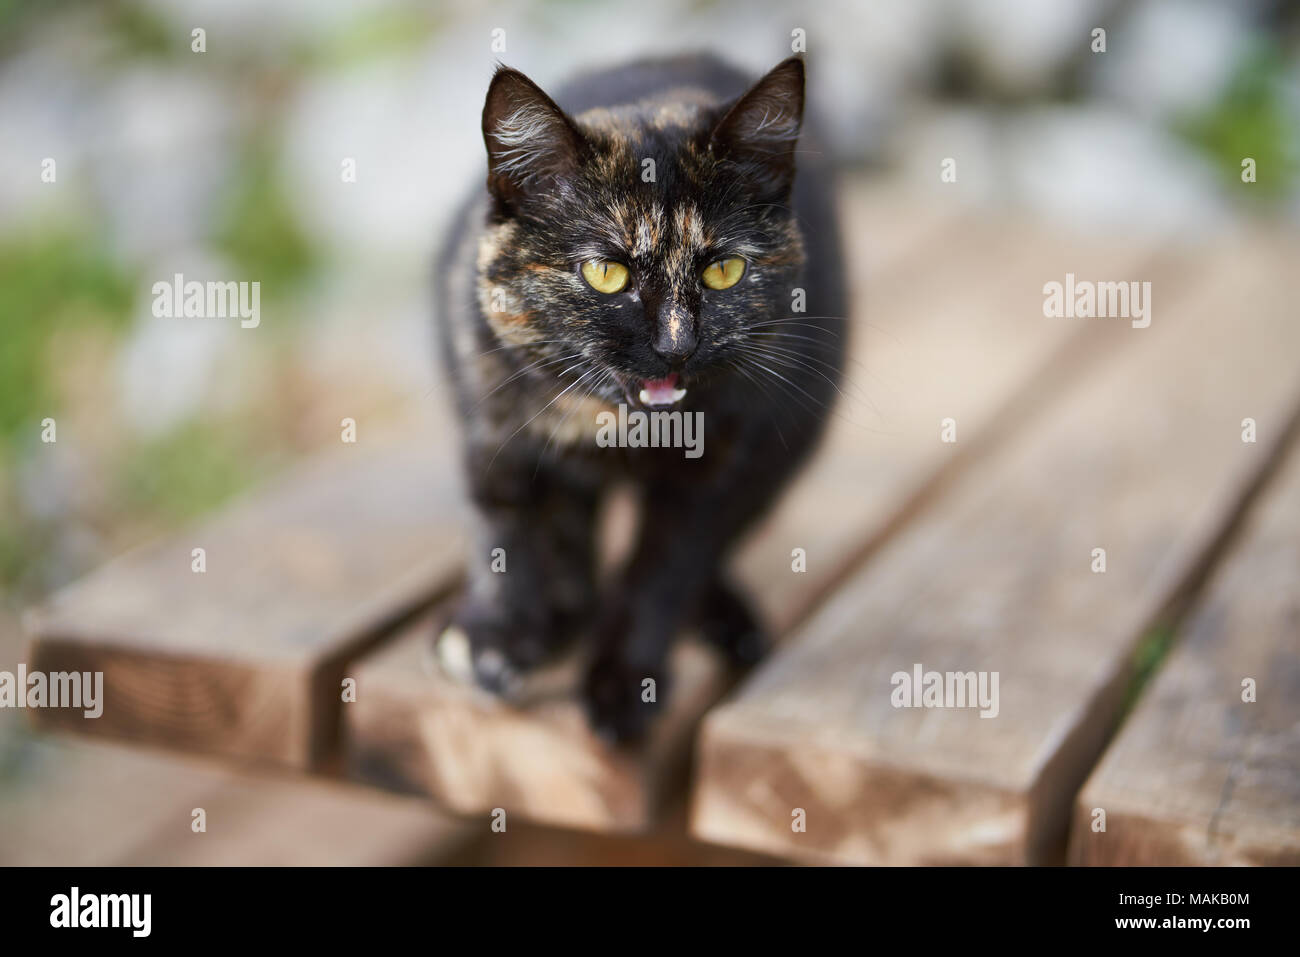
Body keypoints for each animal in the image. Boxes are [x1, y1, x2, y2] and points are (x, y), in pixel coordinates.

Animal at [431, 52, 847, 743]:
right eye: (607, 273)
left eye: (724, 271)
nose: (677, 345)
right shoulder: (493, 435)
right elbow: (508, 533)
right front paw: (499, 639)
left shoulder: (711, 473)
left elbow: (660, 574)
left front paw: (626, 684)